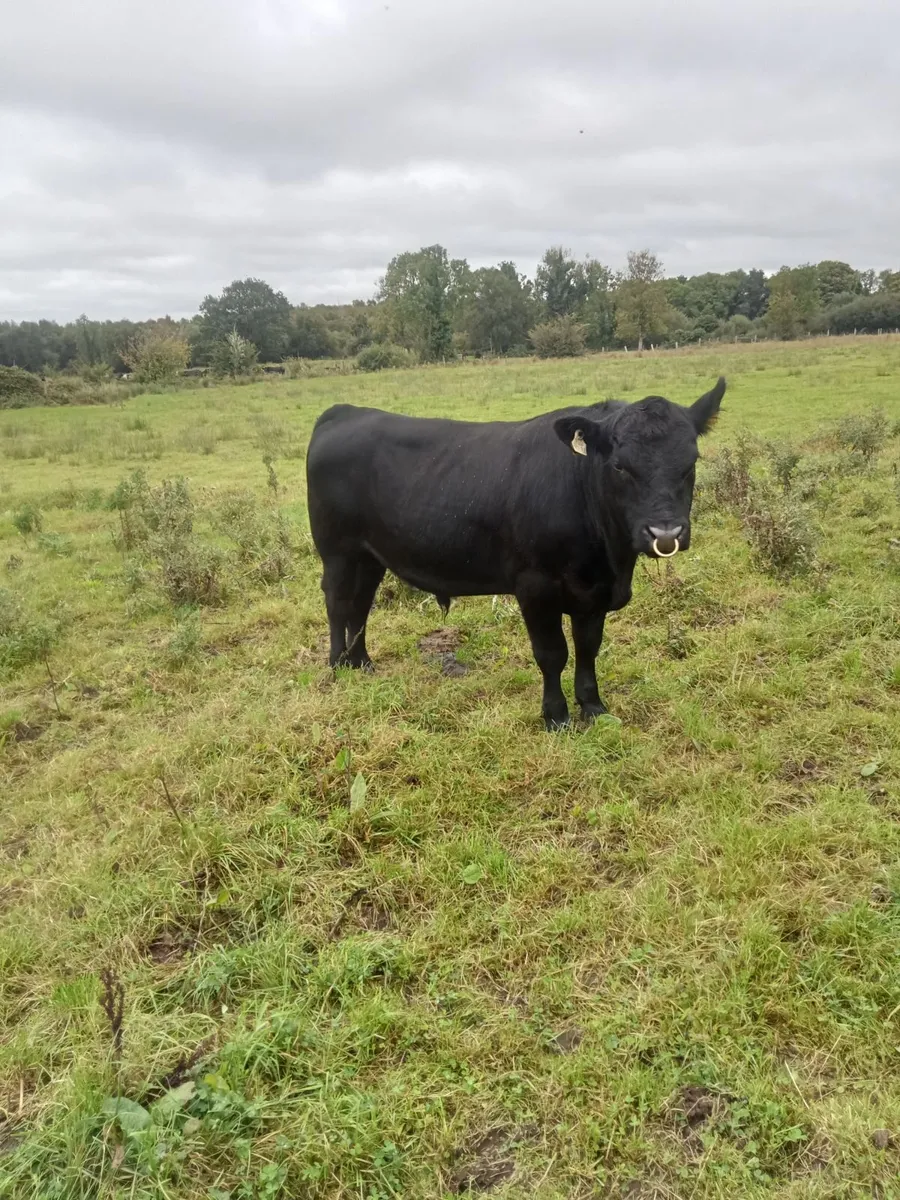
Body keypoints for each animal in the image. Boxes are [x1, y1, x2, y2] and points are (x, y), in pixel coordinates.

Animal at [305, 377, 726, 729]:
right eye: (620, 466)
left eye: (691, 463)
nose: (665, 533)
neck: (610, 561)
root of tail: (345, 411)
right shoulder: (535, 586)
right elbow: (552, 653)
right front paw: (556, 716)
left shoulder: (593, 595)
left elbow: (588, 649)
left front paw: (593, 708)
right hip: (337, 552)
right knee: (338, 603)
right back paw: (338, 665)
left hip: (368, 556)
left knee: (360, 604)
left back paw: (362, 662)